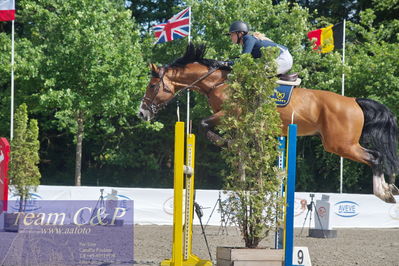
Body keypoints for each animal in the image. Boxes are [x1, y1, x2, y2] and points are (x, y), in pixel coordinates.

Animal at [138, 43, 399, 203]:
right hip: (342, 143)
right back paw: (389, 189)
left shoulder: (230, 113)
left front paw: (224, 143)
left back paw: (384, 193)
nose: (142, 113)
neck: (218, 83)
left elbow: (203, 125)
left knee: (375, 157)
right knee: (377, 156)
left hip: (339, 144)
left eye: (152, 85)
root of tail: (354, 101)